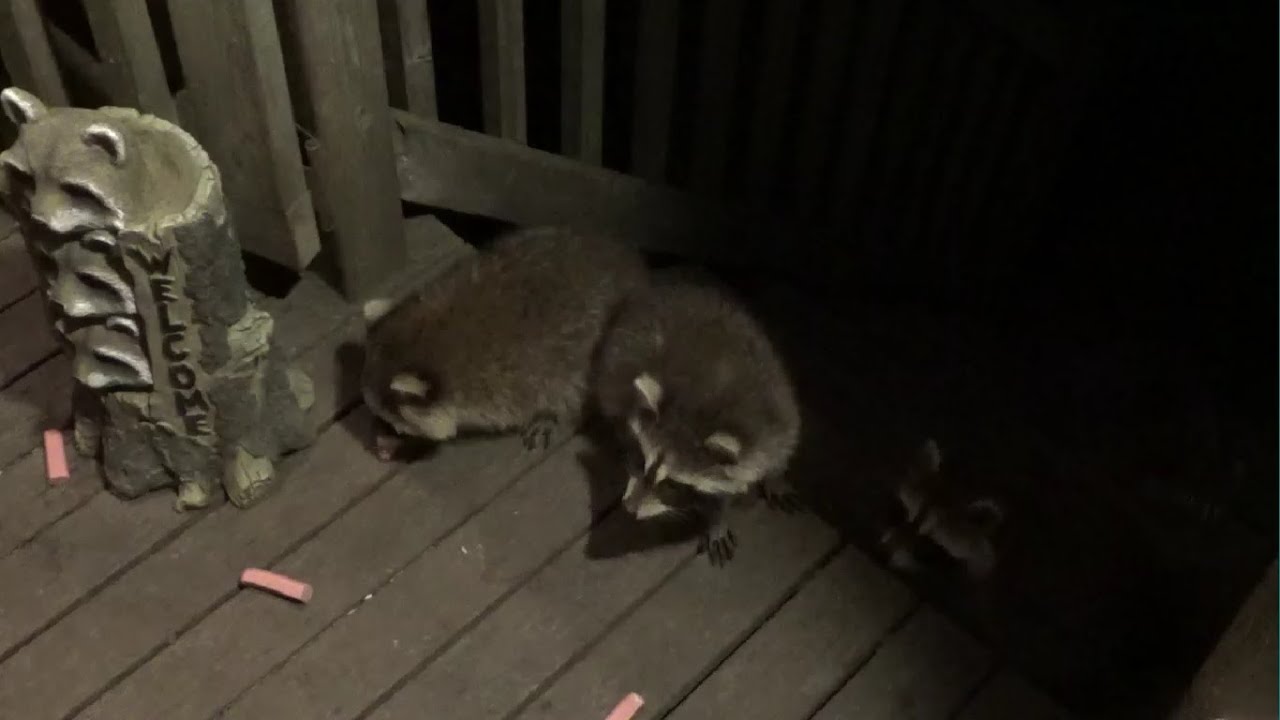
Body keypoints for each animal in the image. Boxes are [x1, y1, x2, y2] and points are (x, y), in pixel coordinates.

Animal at [593, 280, 802, 566]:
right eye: (641, 460)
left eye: (672, 484)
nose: (628, 508)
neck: (694, 414)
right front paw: (715, 518)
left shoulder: (773, 415)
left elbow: (782, 443)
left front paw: (774, 477)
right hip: (620, 356)